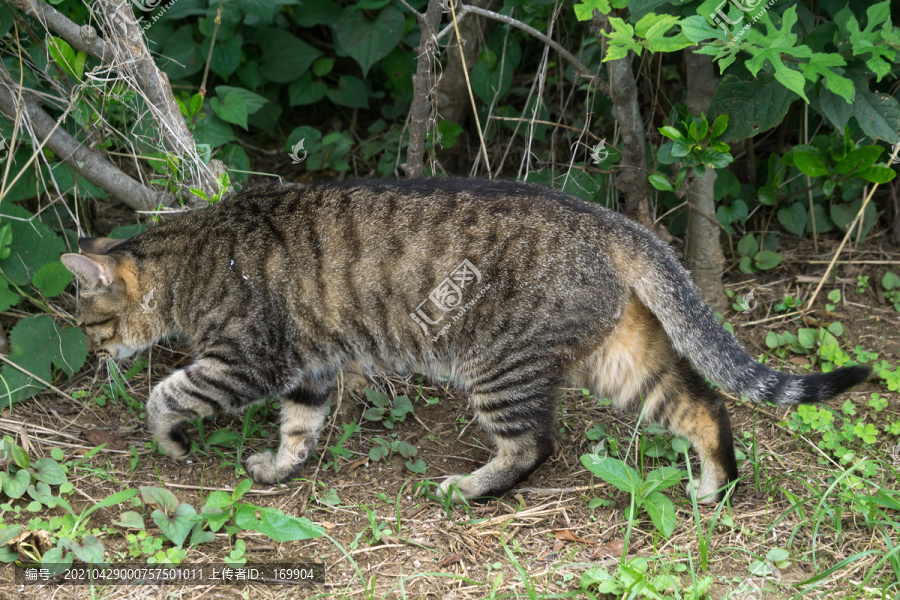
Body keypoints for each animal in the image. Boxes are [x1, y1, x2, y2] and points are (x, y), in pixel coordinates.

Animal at [58, 178, 872, 502]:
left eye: (89, 324)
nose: (93, 358)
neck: (190, 257)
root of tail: (608, 220)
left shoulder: (248, 359)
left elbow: (171, 391)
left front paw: (168, 441)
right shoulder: (309, 367)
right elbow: (299, 426)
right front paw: (281, 467)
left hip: (497, 367)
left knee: (533, 445)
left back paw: (471, 487)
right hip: (621, 359)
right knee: (703, 406)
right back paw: (712, 486)